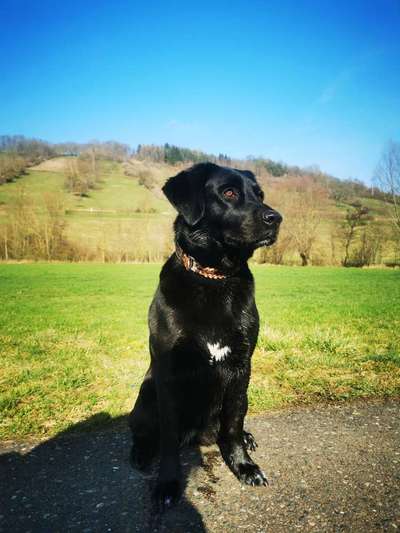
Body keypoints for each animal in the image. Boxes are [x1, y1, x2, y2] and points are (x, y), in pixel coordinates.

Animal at [129, 161, 282, 508]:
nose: (276, 218)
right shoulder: (168, 375)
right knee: (144, 433)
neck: (215, 279)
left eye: (260, 194)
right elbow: (168, 440)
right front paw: (167, 484)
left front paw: (244, 466)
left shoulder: (241, 367)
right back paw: (141, 452)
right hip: (146, 395)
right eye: (229, 193)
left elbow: (233, 424)